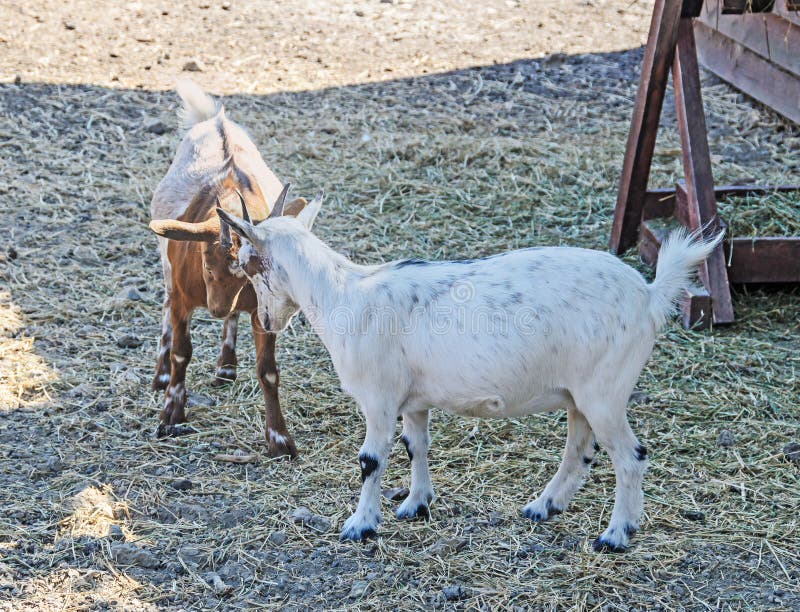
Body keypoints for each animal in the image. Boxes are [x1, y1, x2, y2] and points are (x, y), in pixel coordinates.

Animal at [148, 80, 306, 457]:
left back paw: (227, 366)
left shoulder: (261, 309)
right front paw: (171, 415)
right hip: (167, 271)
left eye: (254, 275)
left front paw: (279, 439)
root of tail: (215, 119)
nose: (216, 308)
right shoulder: (183, 298)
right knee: (164, 306)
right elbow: (181, 352)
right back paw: (161, 376)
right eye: (206, 263)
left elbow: (267, 370)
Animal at [217, 196, 722, 551]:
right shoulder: (414, 401)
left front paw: (360, 525)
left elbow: (371, 460)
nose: (267, 320)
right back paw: (544, 506)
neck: (345, 293)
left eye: (245, 261)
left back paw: (615, 535)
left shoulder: (379, 398)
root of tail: (651, 294)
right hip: (581, 394)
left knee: (630, 457)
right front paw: (415, 504)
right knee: (580, 450)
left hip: (606, 391)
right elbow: (415, 445)